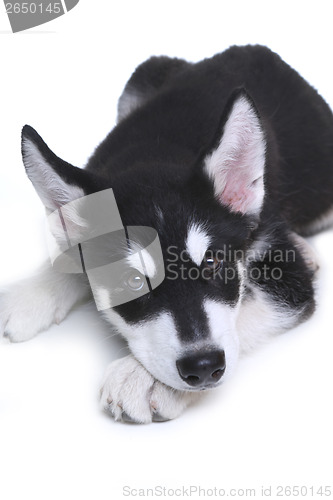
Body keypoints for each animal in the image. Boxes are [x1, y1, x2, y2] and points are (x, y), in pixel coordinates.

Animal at [1, 46, 330, 422]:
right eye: (133, 281)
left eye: (213, 263)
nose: (203, 367)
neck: (154, 155)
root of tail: (257, 49)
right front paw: (31, 294)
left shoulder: (283, 273)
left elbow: (251, 305)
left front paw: (142, 378)